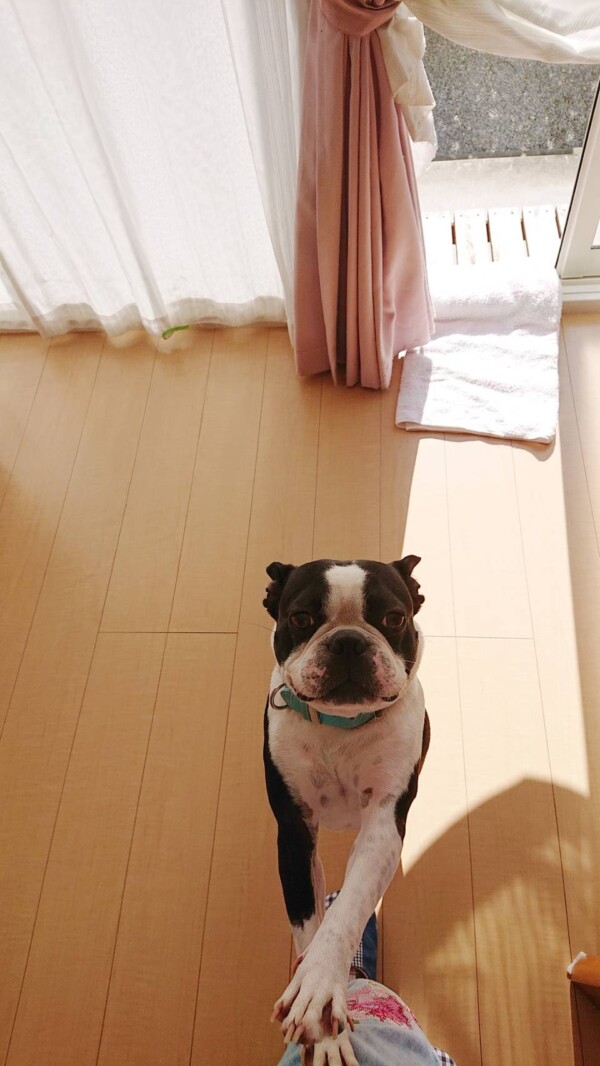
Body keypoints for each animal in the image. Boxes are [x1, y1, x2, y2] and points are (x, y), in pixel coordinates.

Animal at [263, 556, 429, 1061]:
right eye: (301, 618)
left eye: (394, 618)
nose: (349, 641)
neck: (342, 725)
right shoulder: (294, 836)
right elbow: (311, 925)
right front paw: (325, 1034)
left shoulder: (383, 827)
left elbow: (346, 911)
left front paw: (318, 986)